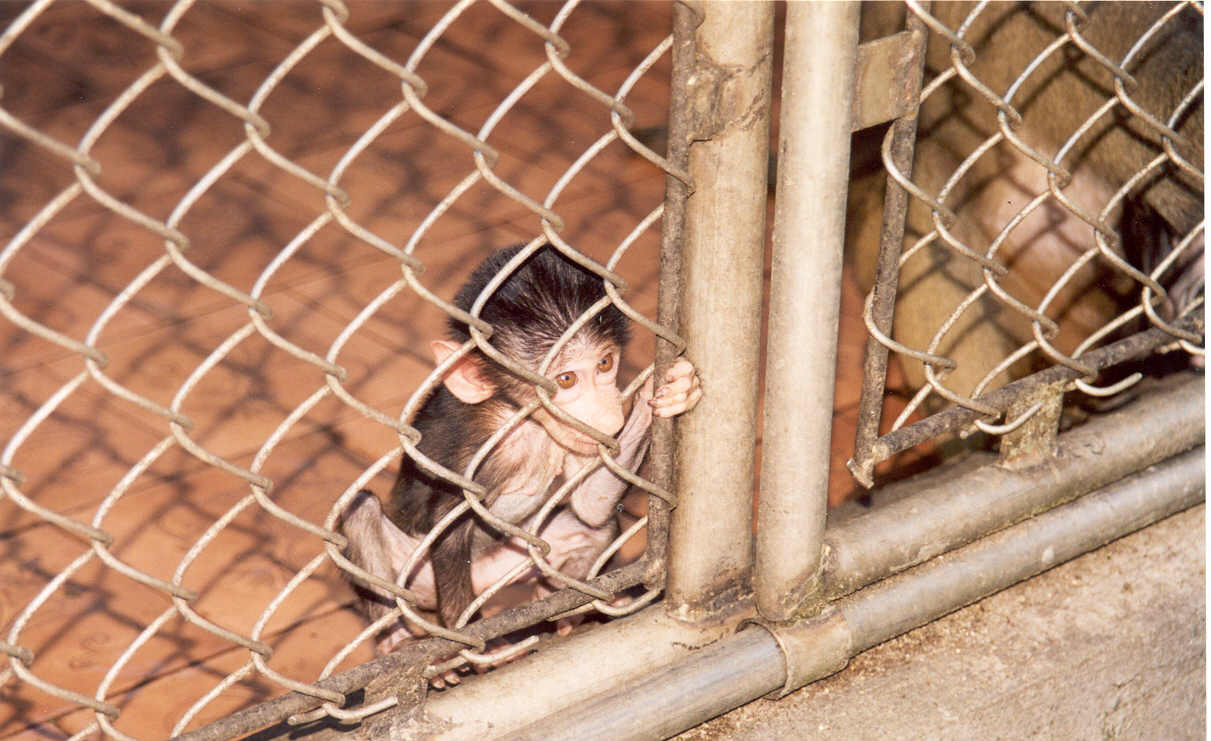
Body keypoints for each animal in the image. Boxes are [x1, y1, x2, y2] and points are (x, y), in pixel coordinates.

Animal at [339, 243, 702, 658]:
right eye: (566, 380)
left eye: (605, 363)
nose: (606, 414)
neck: (527, 424)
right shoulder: (479, 451)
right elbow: (448, 526)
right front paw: (476, 646)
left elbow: (590, 509)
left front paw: (672, 390)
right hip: (417, 579)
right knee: (360, 509)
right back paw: (394, 636)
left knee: (589, 530)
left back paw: (559, 604)